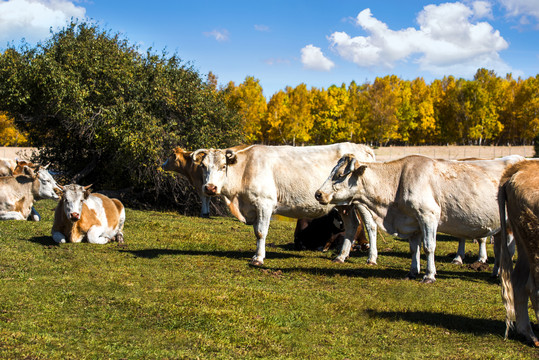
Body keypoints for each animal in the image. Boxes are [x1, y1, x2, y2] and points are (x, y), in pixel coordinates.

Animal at [193, 143, 376, 268]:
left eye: (223, 166)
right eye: (203, 166)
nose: (210, 188)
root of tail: (360, 147)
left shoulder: (265, 203)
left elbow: (261, 232)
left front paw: (258, 259)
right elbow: (257, 231)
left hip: (364, 203)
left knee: (371, 226)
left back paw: (371, 258)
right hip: (345, 205)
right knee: (352, 225)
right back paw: (341, 256)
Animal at [316, 153, 524, 282]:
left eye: (339, 175)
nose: (318, 194)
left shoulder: (428, 216)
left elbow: (428, 247)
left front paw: (429, 275)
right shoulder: (412, 221)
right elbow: (414, 248)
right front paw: (412, 272)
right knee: (500, 249)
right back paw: (496, 273)